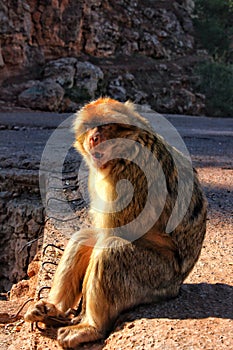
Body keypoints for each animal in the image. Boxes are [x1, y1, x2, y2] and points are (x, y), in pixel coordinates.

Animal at [25, 97, 208, 348]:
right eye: (90, 127)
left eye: (105, 126)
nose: (94, 137)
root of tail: (178, 284)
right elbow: (94, 235)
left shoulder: (131, 173)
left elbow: (115, 233)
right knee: (88, 239)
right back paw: (54, 309)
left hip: (156, 279)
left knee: (111, 249)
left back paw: (92, 327)